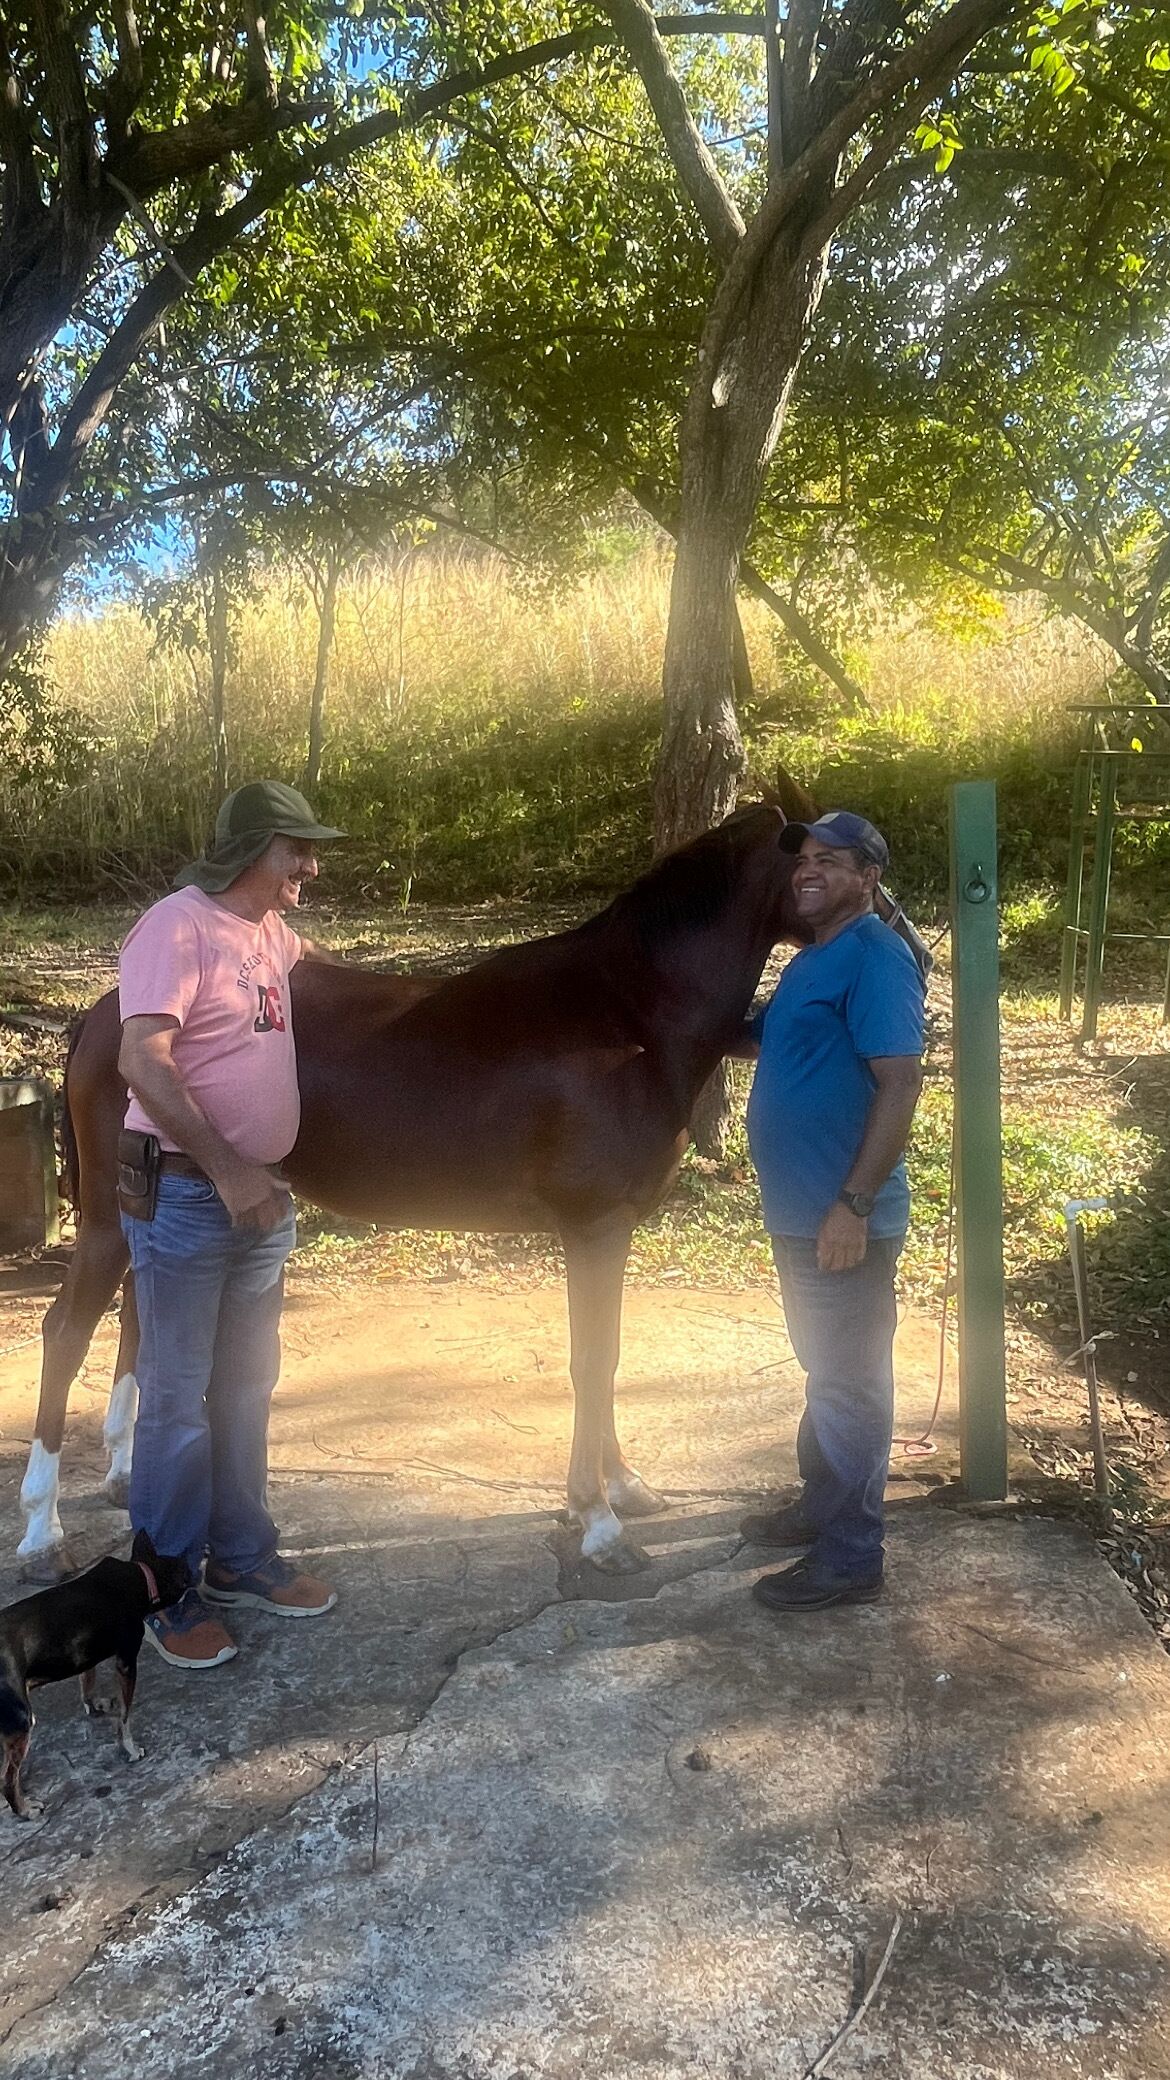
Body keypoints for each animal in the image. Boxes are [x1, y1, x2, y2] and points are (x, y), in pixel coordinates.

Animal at [15, 805, 925, 1579]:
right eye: (836, 868)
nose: (915, 954)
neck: (630, 1013)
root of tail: (107, 1011)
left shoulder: (614, 1229)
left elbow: (607, 1357)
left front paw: (621, 1488)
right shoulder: (594, 1227)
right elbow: (594, 1360)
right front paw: (598, 1522)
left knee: (140, 1320)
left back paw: (124, 1473)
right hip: (109, 1217)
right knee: (68, 1331)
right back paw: (41, 1530)